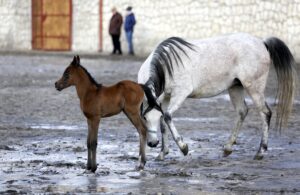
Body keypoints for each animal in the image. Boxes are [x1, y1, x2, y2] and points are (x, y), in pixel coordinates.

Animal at [139, 33, 298, 160]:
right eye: (144, 118)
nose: (152, 143)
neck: (166, 66)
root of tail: (262, 42)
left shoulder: (180, 94)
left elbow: (167, 116)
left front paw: (183, 147)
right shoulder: (165, 98)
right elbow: (163, 121)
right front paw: (162, 153)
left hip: (254, 87)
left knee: (265, 113)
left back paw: (260, 152)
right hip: (235, 87)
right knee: (242, 111)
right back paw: (228, 148)